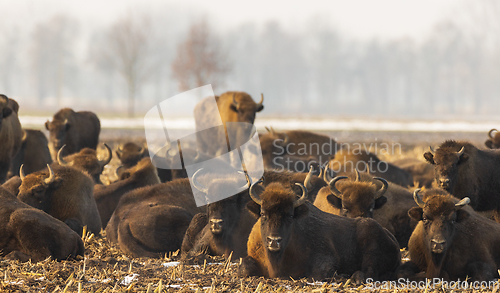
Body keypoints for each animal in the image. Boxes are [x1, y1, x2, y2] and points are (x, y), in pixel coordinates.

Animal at [239, 180, 402, 278]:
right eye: (262, 214)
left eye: (290, 215)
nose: (274, 241)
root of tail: (391, 237)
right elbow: (245, 267)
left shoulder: (326, 259)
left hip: (370, 246)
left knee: (368, 272)